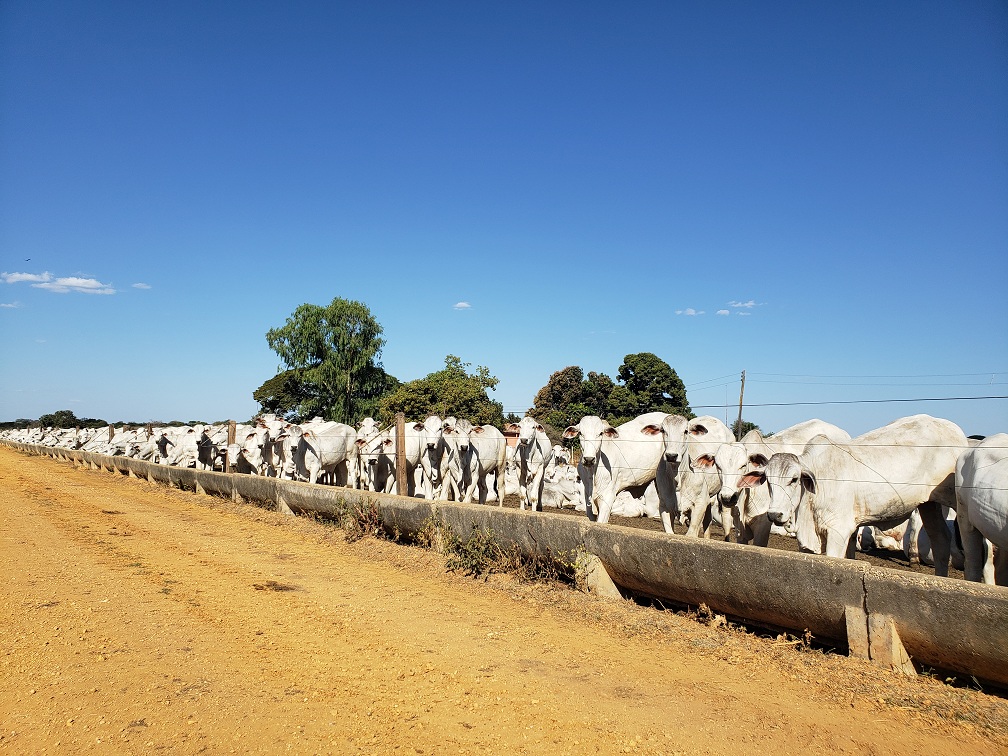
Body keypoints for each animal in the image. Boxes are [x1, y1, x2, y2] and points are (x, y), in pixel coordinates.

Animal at [741, 417, 967, 576]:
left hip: (957, 500)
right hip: (929, 503)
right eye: (768, 481)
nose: (774, 514)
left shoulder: (838, 531)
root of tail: (955, 430)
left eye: (794, 479)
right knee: (940, 540)